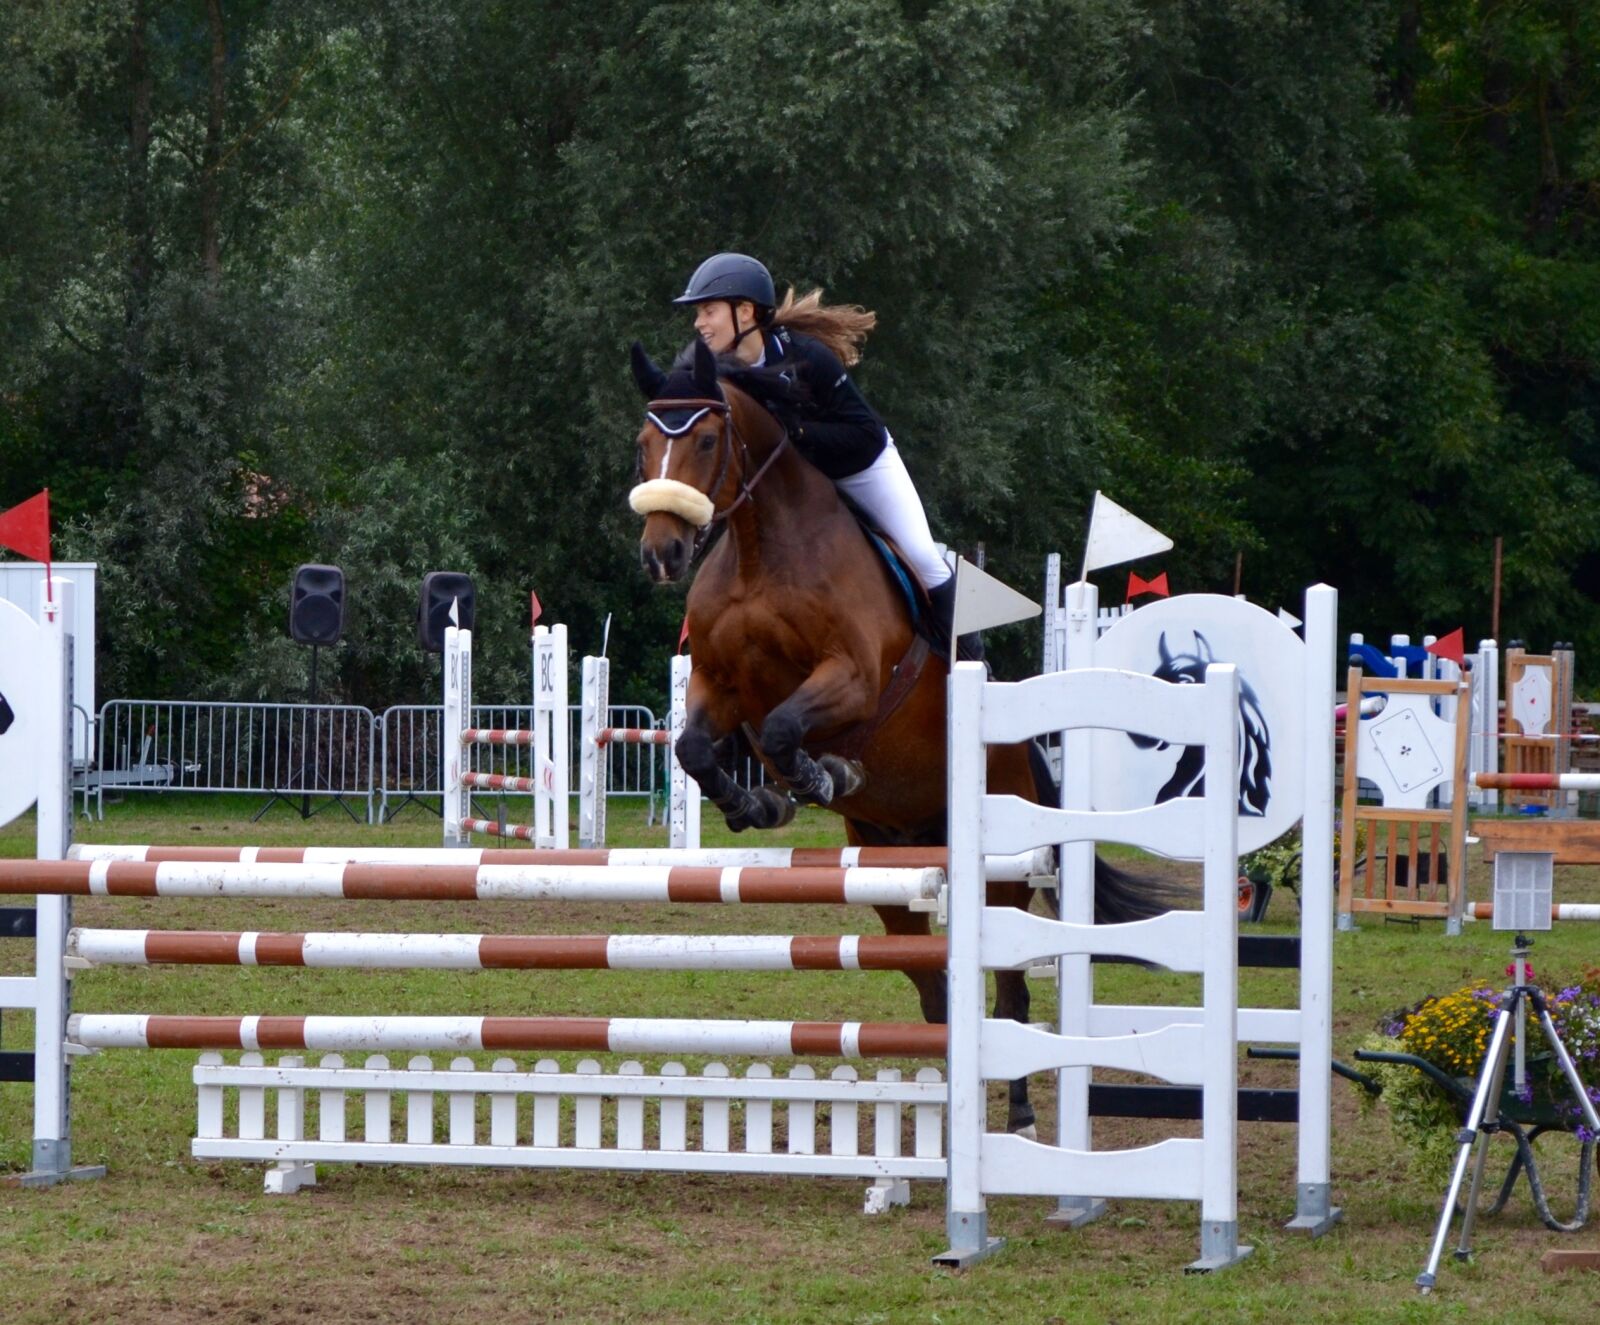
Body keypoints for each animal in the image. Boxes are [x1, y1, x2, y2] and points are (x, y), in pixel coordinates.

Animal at [627, 335, 1171, 1134]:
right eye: (642, 445)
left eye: (703, 439)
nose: (662, 553)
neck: (761, 548)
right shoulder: (717, 685)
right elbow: (699, 747)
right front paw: (760, 802)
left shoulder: (852, 676)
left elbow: (785, 726)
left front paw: (822, 775)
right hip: (891, 868)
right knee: (935, 990)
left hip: (1003, 873)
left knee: (1010, 988)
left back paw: (1017, 1110)